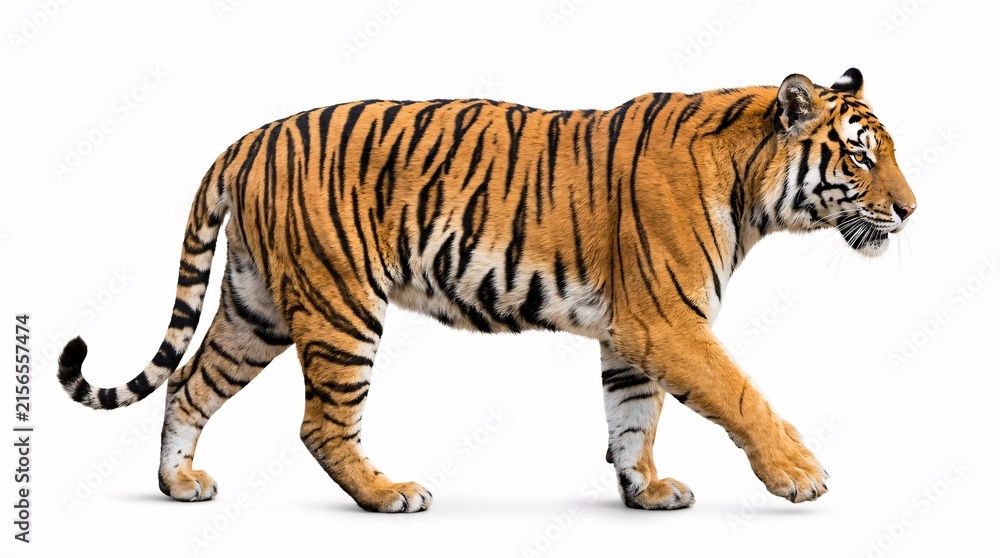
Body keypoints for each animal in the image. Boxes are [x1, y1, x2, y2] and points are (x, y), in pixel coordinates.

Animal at [58, 68, 915, 513]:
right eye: (861, 157)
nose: (912, 210)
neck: (749, 187)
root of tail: (248, 139)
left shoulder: (631, 335)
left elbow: (633, 419)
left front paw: (644, 490)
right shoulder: (670, 321)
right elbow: (742, 395)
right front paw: (800, 475)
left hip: (255, 309)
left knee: (189, 385)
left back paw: (179, 484)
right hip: (341, 309)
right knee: (321, 424)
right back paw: (388, 494)